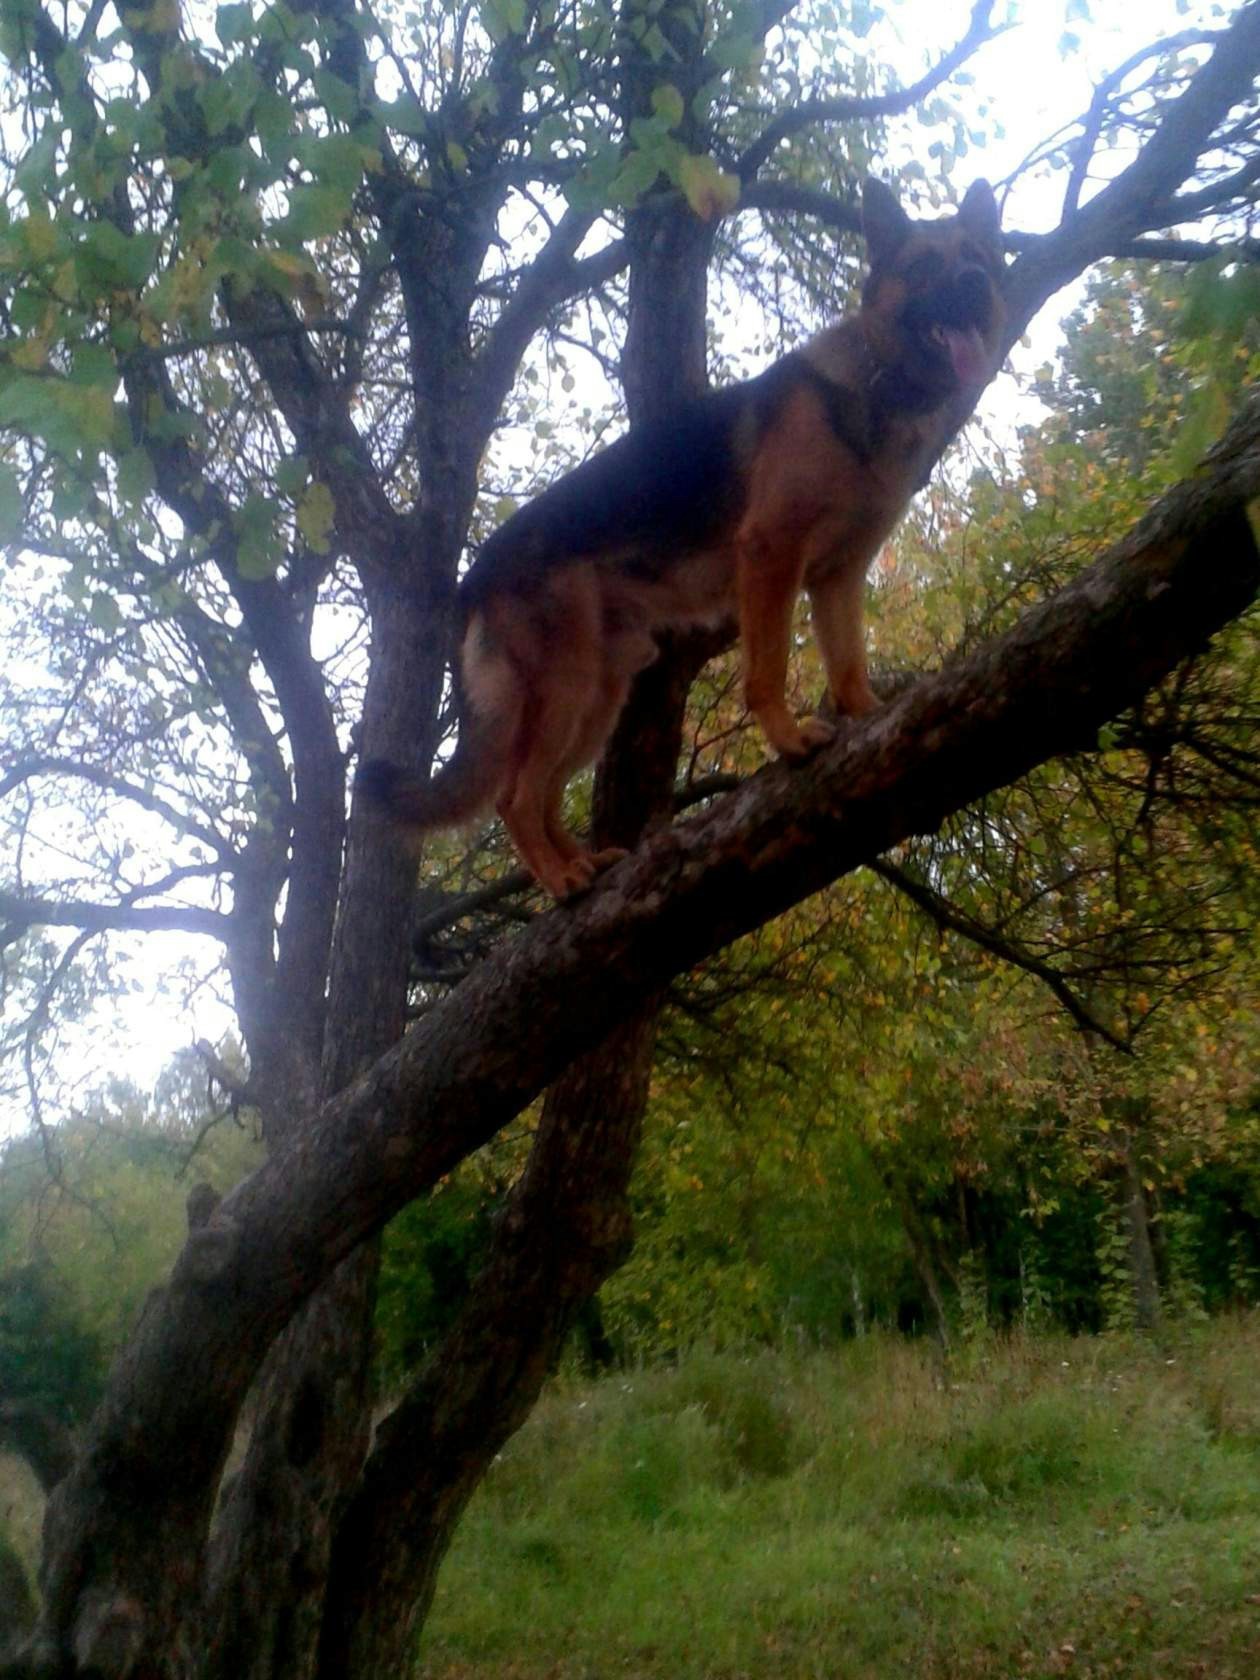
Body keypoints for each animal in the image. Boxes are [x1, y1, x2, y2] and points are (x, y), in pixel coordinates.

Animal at [359, 177, 1014, 900]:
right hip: (566, 685)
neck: (877, 382)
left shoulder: (838, 578)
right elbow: (767, 670)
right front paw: (788, 740)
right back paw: (561, 880)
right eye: (924, 266)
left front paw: (870, 717)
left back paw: (582, 864)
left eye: (977, 256)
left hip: (599, 695)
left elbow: (848, 663)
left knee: (546, 793)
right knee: (515, 797)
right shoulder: (771, 556)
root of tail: (475, 576)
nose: (975, 282)